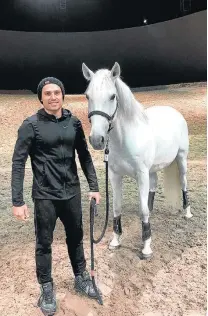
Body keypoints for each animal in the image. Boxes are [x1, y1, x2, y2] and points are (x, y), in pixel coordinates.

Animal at [82, 62, 193, 260]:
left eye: (112, 96)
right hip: (153, 169)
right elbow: (116, 207)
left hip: (181, 159)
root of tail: (174, 112)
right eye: (87, 96)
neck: (125, 138)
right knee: (153, 186)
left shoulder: (141, 174)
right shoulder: (115, 176)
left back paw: (187, 212)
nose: (96, 140)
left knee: (183, 183)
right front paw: (115, 240)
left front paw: (146, 247)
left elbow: (143, 210)